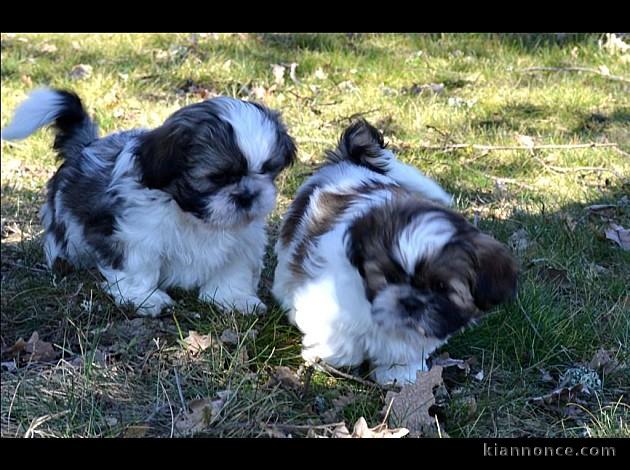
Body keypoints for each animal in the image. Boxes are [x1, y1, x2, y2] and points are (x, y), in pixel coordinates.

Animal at [1, 88, 298, 316]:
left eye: (267, 170)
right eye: (218, 177)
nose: (247, 195)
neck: (192, 217)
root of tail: (85, 146)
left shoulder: (243, 240)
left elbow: (233, 268)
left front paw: (234, 298)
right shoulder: (134, 234)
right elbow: (137, 266)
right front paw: (145, 298)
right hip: (66, 217)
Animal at [272, 119, 520, 384]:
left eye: (441, 287)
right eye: (389, 277)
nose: (411, 302)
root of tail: (351, 161)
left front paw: (398, 375)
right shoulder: (328, 296)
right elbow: (337, 336)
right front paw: (333, 358)